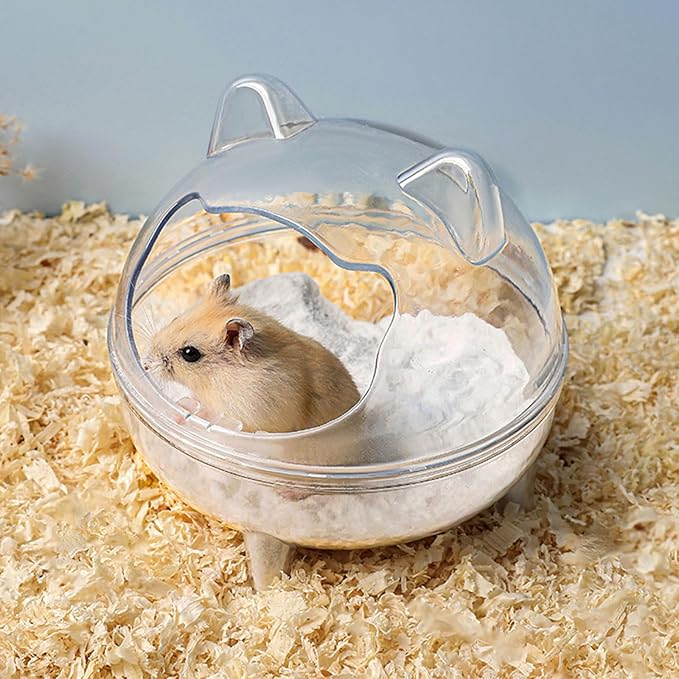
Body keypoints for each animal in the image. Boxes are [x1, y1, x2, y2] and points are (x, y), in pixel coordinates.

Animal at [143, 273, 360, 433]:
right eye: (175, 318)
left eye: (189, 353)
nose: (145, 364)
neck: (218, 376)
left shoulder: (249, 415)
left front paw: (180, 415)